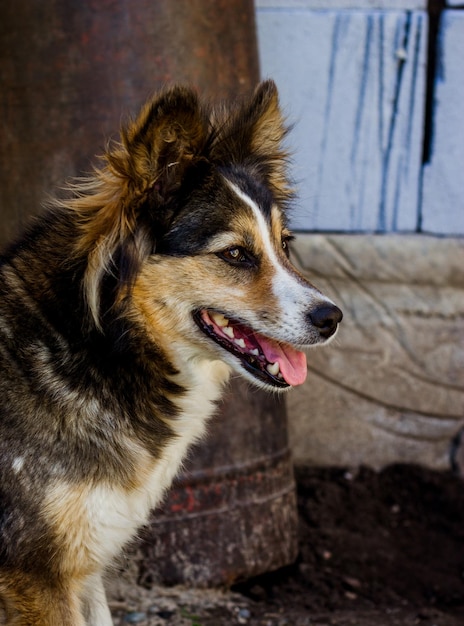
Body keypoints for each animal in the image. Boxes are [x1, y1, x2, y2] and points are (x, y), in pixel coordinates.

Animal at [0, 80, 340, 620]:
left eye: (285, 244)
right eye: (235, 254)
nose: (332, 318)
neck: (99, 344)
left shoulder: (85, 566)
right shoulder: (36, 574)